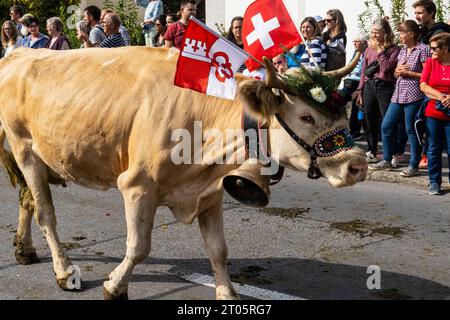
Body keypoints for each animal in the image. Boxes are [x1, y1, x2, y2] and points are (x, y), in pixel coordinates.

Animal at [0, 46, 366, 298]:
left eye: (343, 112)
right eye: (305, 116)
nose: (359, 165)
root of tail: (19, 52)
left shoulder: (211, 191)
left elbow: (219, 251)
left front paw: (227, 294)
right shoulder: (136, 185)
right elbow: (139, 246)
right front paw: (115, 285)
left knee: (27, 201)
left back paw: (24, 251)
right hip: (25, 147)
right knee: (45, 212)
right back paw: (64, 272)